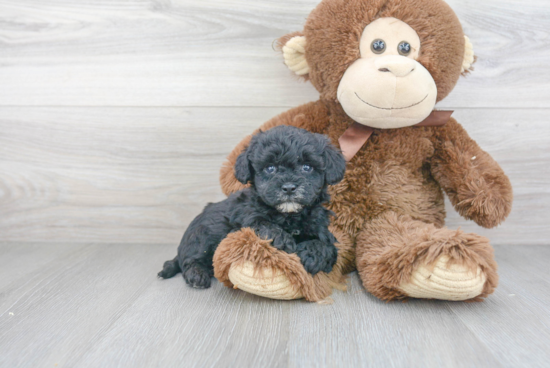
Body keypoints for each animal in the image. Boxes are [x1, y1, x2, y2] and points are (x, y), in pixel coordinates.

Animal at [158, 125, 344, 288]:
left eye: (307, 167)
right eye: (270, 168)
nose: (289, 187)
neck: (289, 216)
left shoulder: (322, 228)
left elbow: (327, 246)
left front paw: (312, 254)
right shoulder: (245, 217)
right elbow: (262, 223)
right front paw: (282, 239)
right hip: (202, 236)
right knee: (191, 260)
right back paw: (197, 275)